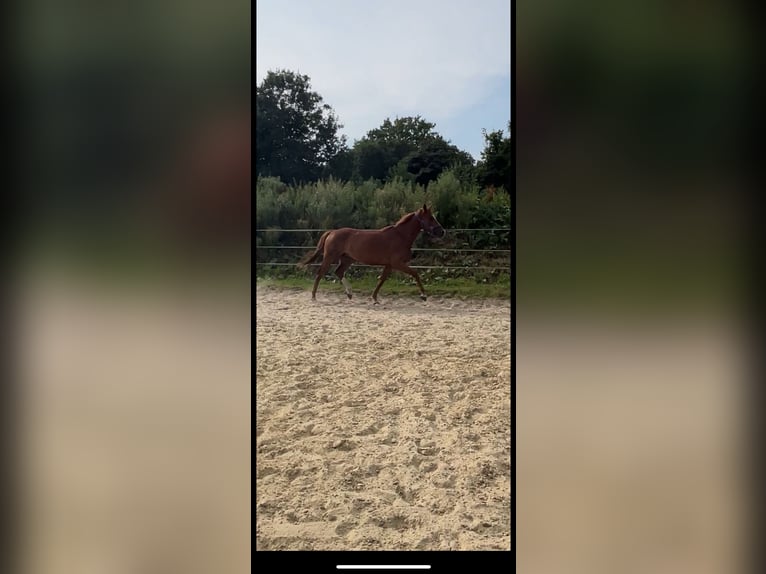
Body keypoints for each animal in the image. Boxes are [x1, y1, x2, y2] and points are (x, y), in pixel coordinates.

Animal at [298, 207, 444, 306]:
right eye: (431, 218)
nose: (442, 231)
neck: (400, 236)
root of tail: (332, 232)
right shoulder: (397, 263)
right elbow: (415, 273)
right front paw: (424, 296)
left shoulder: (389, 265)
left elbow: (381, 280)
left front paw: (374, 298)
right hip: (330, 257)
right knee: (320, 273)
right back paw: (313, 297)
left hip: (347, 259)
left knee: (338, 272)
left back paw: (349, 294)